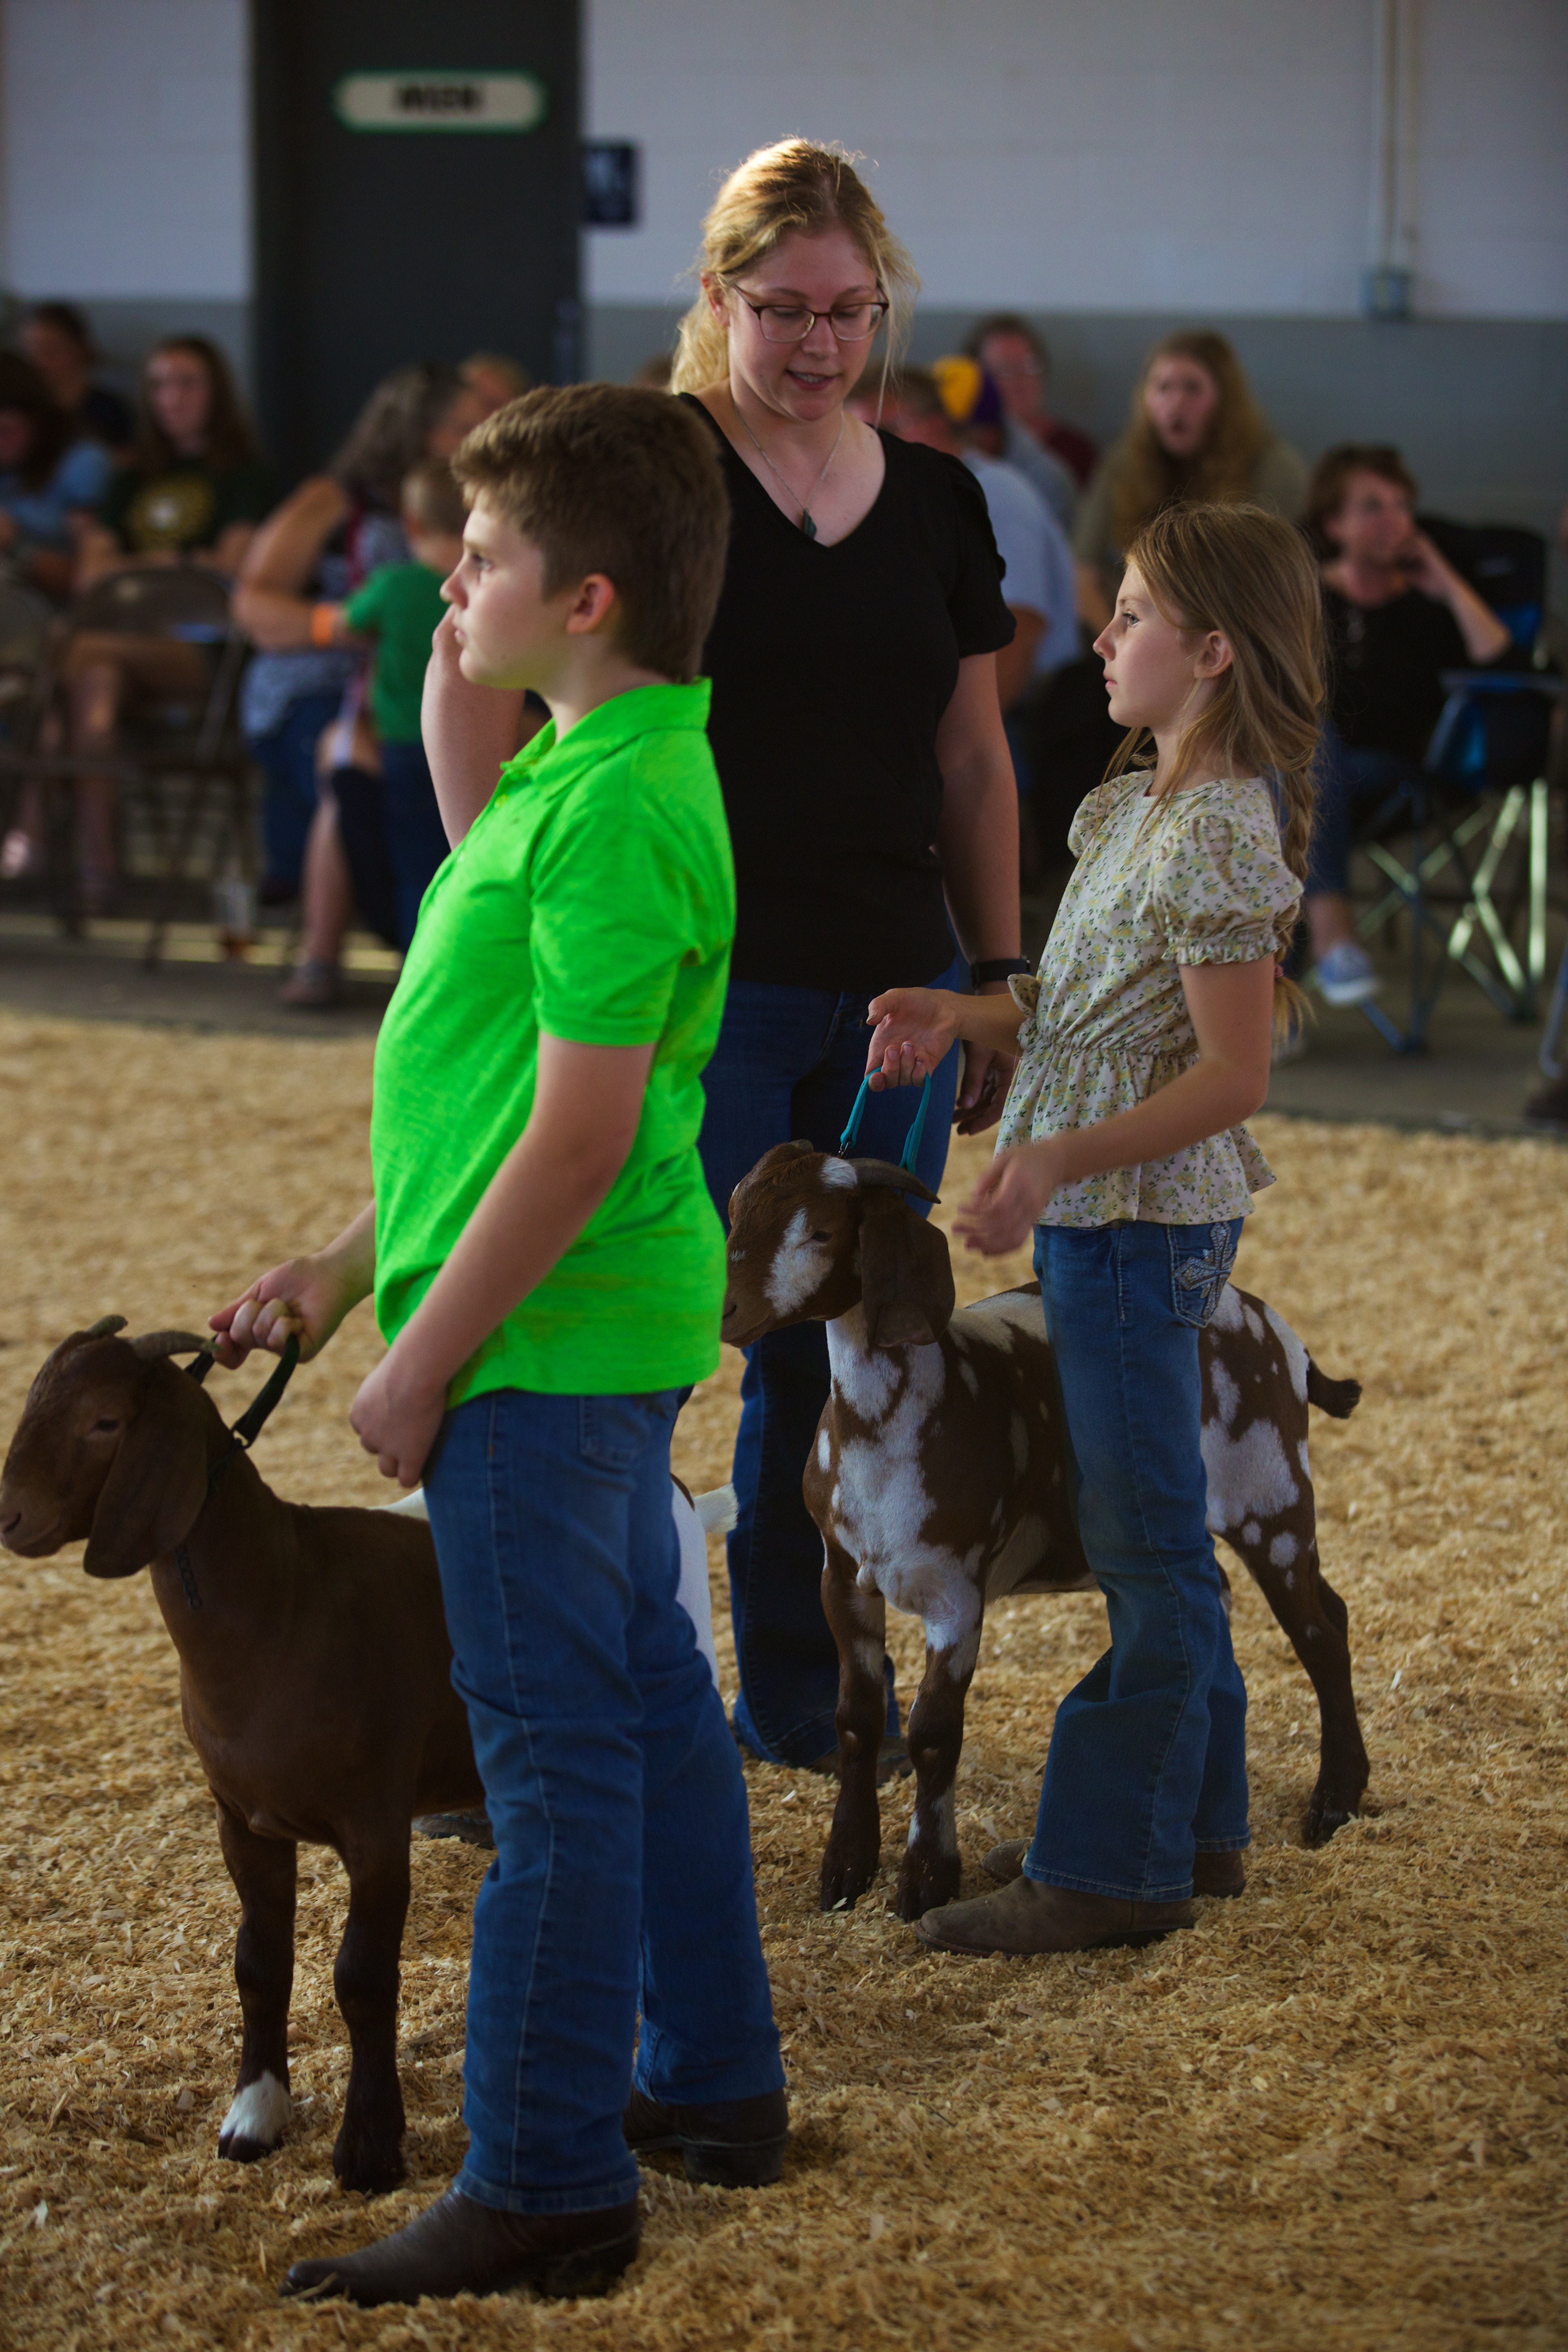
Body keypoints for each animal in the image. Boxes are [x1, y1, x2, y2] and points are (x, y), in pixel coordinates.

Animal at [0, 1320, 729, 2191]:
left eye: (106, 1421)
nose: (8, 1517)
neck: (284, 1596)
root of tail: (679, 1493)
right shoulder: (243, 1822)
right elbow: (258, 1963)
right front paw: (255, 2114)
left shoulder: (376, 1823)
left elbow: (362, 1977)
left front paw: (370, 2148)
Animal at [721, 1143, 1370, 1924]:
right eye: (735, 1209)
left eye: (821, 1232)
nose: (725, 1314)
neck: (893, 1421)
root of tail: (1280, 1334)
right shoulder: (843, 1578)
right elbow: (855, 1719)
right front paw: (845, 1868)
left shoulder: (956, 1592)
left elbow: (934, 1733)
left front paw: (926, 1880)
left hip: (1270, 1490)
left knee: (1321, 1630)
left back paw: (1335, 1801)